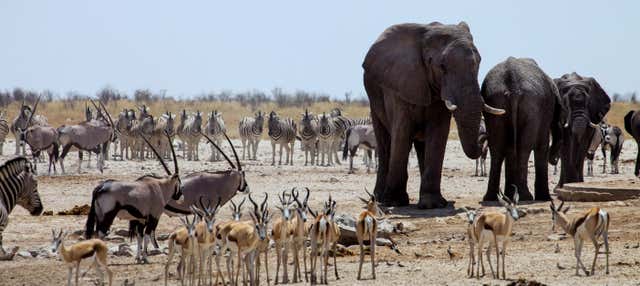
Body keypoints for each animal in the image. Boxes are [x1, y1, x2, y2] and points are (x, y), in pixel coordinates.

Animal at [360, 21, 504, 208]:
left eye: (479, 63)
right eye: (442, 67)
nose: (484, 135)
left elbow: (438, 134)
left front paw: (432, 204)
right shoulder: (400, 85)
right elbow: (402, 133)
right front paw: (395, 202)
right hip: (373, 96)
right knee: (385, 142)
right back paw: (380, 199)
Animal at [484, 57, 560, 202]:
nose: (554, 159)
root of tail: (512, 86)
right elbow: (542, 146)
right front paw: (545, 198)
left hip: (495, 100)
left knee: (497, 148)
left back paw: (492, 197)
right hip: (532, 107)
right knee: (524, 148)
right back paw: (526, 197)